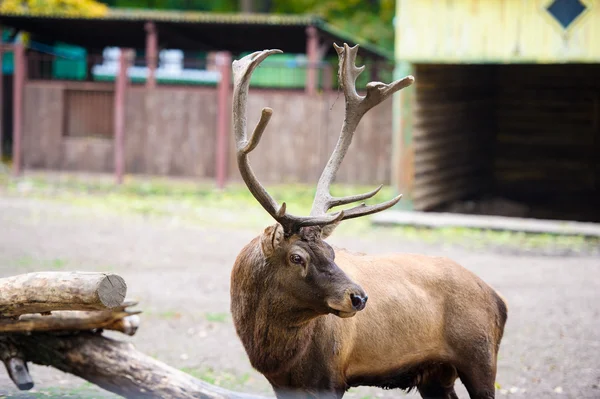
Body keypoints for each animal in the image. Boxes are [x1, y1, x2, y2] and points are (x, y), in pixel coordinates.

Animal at [230, 44, 506, 399]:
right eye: (297, 257)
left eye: (332, 252)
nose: (359, 297)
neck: (275, 354)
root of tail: (499, 301)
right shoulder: (281, 383)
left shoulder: (330, 378)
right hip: (436, 373)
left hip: (480, 357)